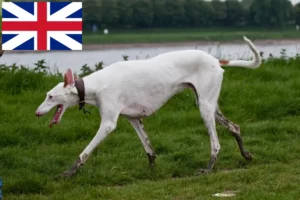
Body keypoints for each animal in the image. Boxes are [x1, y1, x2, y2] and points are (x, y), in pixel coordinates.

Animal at [34, 36, 260, 177]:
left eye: (51, 96)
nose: (36, 113)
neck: (96, 85)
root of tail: (215, 59)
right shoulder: (134, 119)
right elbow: (149, 149)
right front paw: (151, 171)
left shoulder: (108, 124)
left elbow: (85, 151)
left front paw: (69, 172)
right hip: (209, 105)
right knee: (235, 127)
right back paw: (246, 155)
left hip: (205, 108)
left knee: (216, 144)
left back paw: (209, 168)